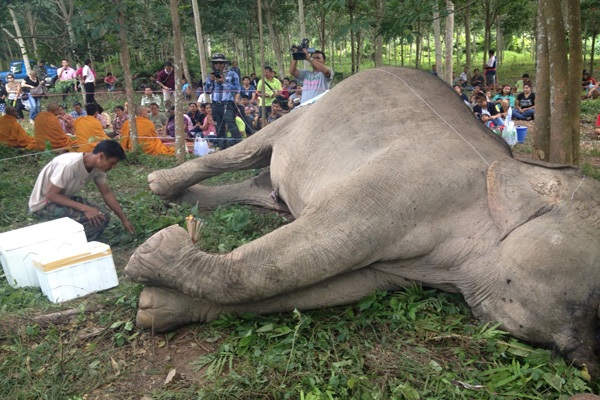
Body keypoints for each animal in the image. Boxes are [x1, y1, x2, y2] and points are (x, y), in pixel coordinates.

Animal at [126, 66, 600, 376]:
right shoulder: (407, 182)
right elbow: (294, 257)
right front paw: (152, 254)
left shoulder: (408, 268)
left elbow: (333, 284)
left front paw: (154, 306)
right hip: (309, 110)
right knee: (250, 149)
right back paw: (160, 186)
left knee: (264, 185)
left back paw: (193, 201)